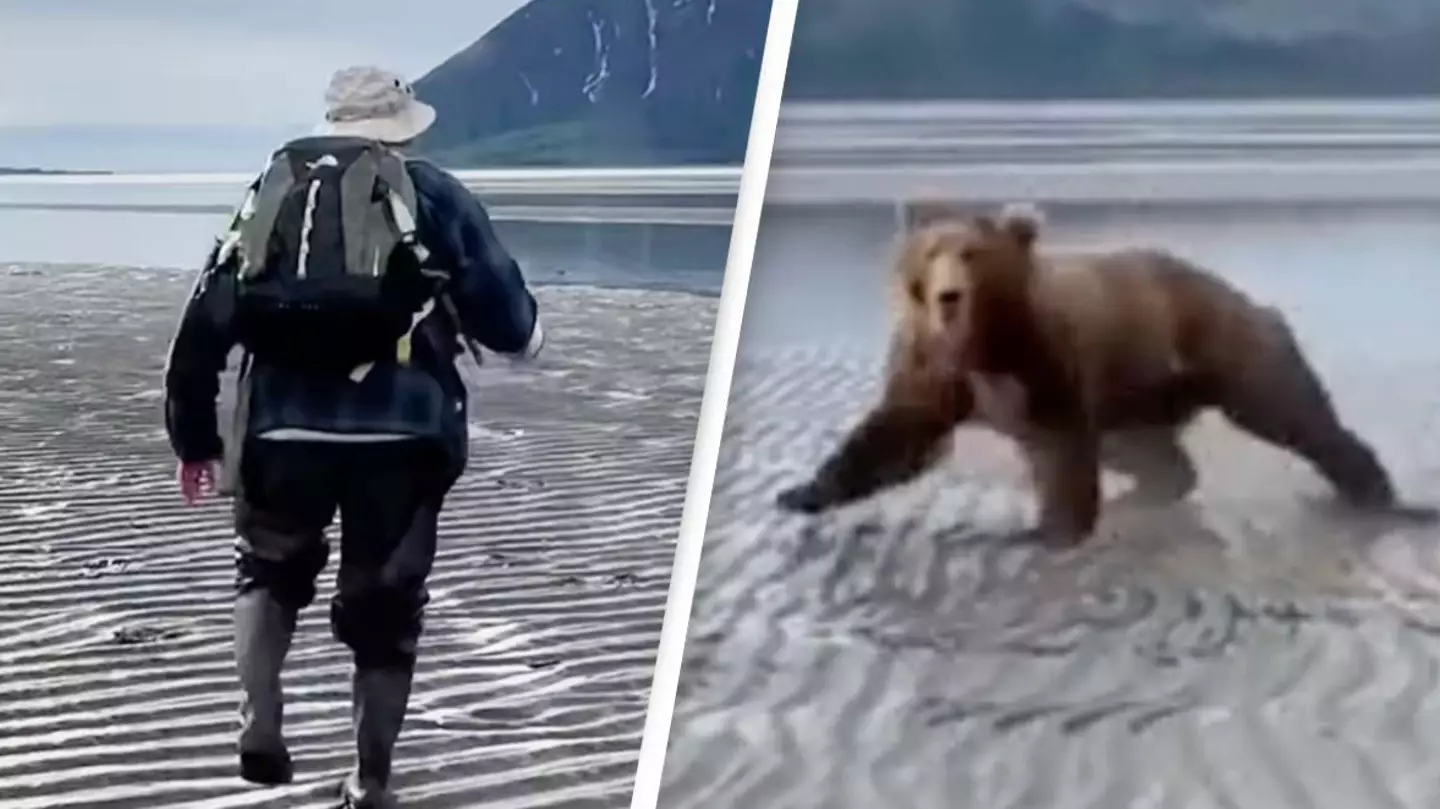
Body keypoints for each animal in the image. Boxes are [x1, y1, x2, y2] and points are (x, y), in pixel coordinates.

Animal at [775, 201, 1404, 545]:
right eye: (932, 253)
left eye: (972, 253)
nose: (949, 297)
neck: (979, 344)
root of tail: (1245, 297)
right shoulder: (933, 369)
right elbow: (895, 434)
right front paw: (800, 493)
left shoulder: (1041, 362)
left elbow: (1059, 446)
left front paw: (1046, 531)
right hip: (1140, 395)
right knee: (1155, 456)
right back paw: (1149, 494)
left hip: (1228, 350)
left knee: (1295, 415)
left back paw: (1375, 493)